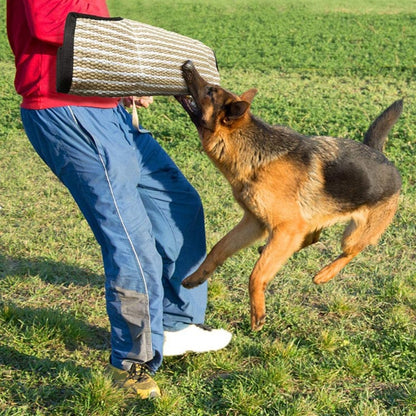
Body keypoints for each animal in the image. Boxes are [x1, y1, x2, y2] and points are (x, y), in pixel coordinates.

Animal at [176, 60, 404, 330]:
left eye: (210, 90)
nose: (187, 64)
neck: (252, 151)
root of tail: (382, 156)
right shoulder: (255, 223)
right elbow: (218, 250)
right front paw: (196, 277)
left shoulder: (284, 227)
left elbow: (256, 275)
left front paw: (257, 312)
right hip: (308, 221)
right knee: (311, 236)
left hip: (352, 235)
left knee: (350, 251)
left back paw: (325, 274)